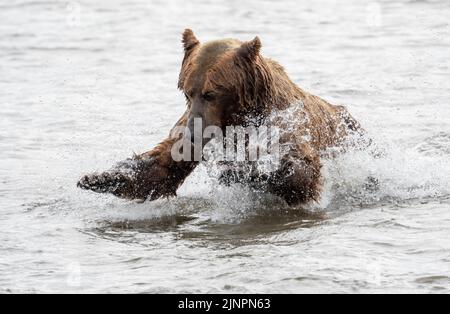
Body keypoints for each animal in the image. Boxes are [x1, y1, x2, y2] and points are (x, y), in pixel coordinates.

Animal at [78, 28, 362, 206]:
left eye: (211, 93)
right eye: (187, 91)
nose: (193, 134)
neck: (238, 116)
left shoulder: (283, 122)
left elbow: (301, 171)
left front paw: (248, 172)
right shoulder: (192, 121)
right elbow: (161, 165)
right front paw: (101, 178)